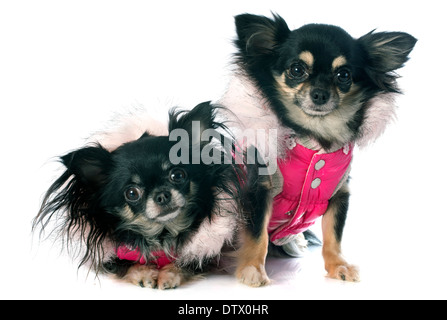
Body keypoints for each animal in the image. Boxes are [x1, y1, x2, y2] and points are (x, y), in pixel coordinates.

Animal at [33, 102, 272, 288]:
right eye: (132, 193)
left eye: (178, 175)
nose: (162, 195)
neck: (162, 233)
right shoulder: (109, 255)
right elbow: (125, 265)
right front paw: (145, 273)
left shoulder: (205, 250)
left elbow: (183, 262)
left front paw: (168, 274)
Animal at [216, 13, 416, 282]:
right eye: (296, 70)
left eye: (344, 75)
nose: (320, 94)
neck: (315, 139)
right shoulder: (259, 189)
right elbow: (257, 236)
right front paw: (253, 269)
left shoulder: (340, 194)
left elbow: (334, 237)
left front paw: (338, 266)